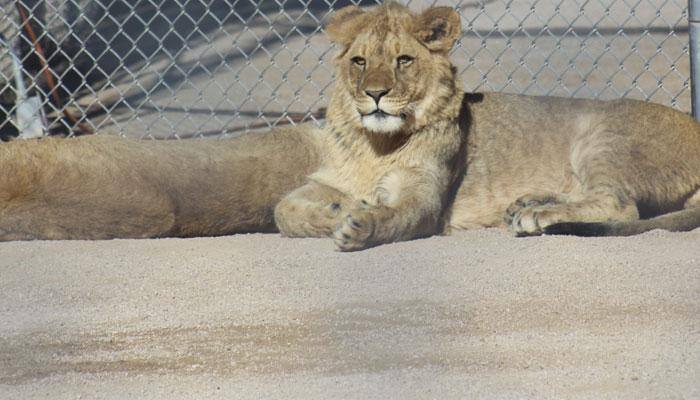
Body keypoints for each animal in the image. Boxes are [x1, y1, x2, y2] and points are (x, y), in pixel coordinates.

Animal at [1, 3, 699, 250]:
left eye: (404, 61)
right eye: (361, 60)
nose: (376, 94)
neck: (375, 143)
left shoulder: (425, 201)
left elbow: (393, 214)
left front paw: (360, 225)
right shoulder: (321, 178)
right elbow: (285, 208)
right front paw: (338, 212)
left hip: (603, 136)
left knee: (620, 203)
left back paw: (535, 216)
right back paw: (529, 203)